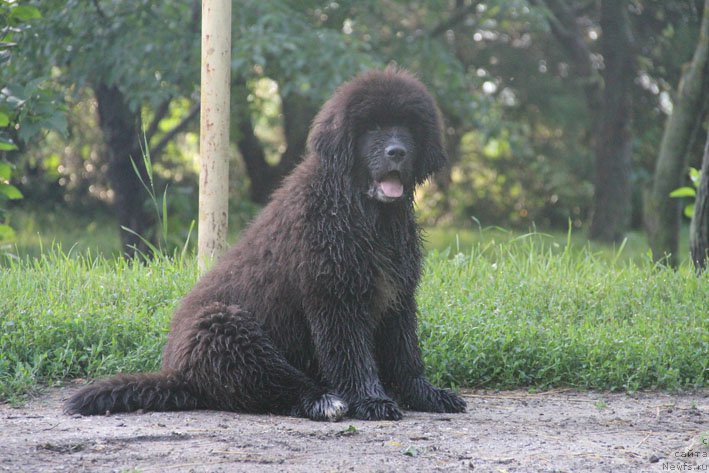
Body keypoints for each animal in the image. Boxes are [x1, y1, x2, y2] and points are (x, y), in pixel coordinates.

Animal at [65, 67, 464, 420]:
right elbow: (352, 357)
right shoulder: (335, 298)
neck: (362, 213)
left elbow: (404, 354)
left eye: (408, 126)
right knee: (272, 383)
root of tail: (176, 374)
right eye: (374, 127)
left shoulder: (397, 295)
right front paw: (373, 401)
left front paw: (425, 394)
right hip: (226, 329)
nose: (397, 151)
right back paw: (322, 401)